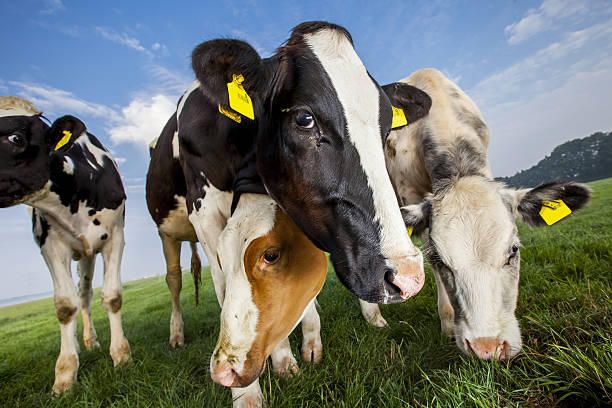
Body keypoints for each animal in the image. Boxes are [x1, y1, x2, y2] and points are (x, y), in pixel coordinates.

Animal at [0, 95, 129, 392]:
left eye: (16, 138)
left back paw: (91, 341)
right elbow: (64, 305)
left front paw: (121, 356)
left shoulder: (115, 235)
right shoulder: (50, 246)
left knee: (85, 294)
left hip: (88, 253)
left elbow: (112, 296)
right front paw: (65, 373)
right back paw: (81, 344)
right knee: (80, 297)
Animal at [360, 68, 592, 358]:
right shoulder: (410, 193)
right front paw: (448, 323)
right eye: (441, 259)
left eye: (513, 250)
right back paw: (373, 317)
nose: (487, 347)